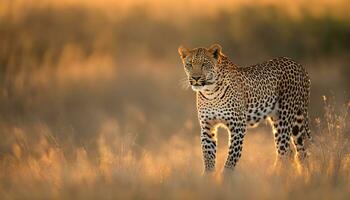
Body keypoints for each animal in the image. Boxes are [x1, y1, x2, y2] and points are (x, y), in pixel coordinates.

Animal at [179, 43, 310, 173]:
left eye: (204, 64)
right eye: (189, 64)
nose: (195, 78)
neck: (210, 93)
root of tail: (299, 65)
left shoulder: (238, 126)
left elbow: (232, 156)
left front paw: (225, 177)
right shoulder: (207, 126)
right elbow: (208, 156)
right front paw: (208, 176)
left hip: (285, 118)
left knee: (286, 150)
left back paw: (276, 174)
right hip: (283, 120)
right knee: (297, 151)